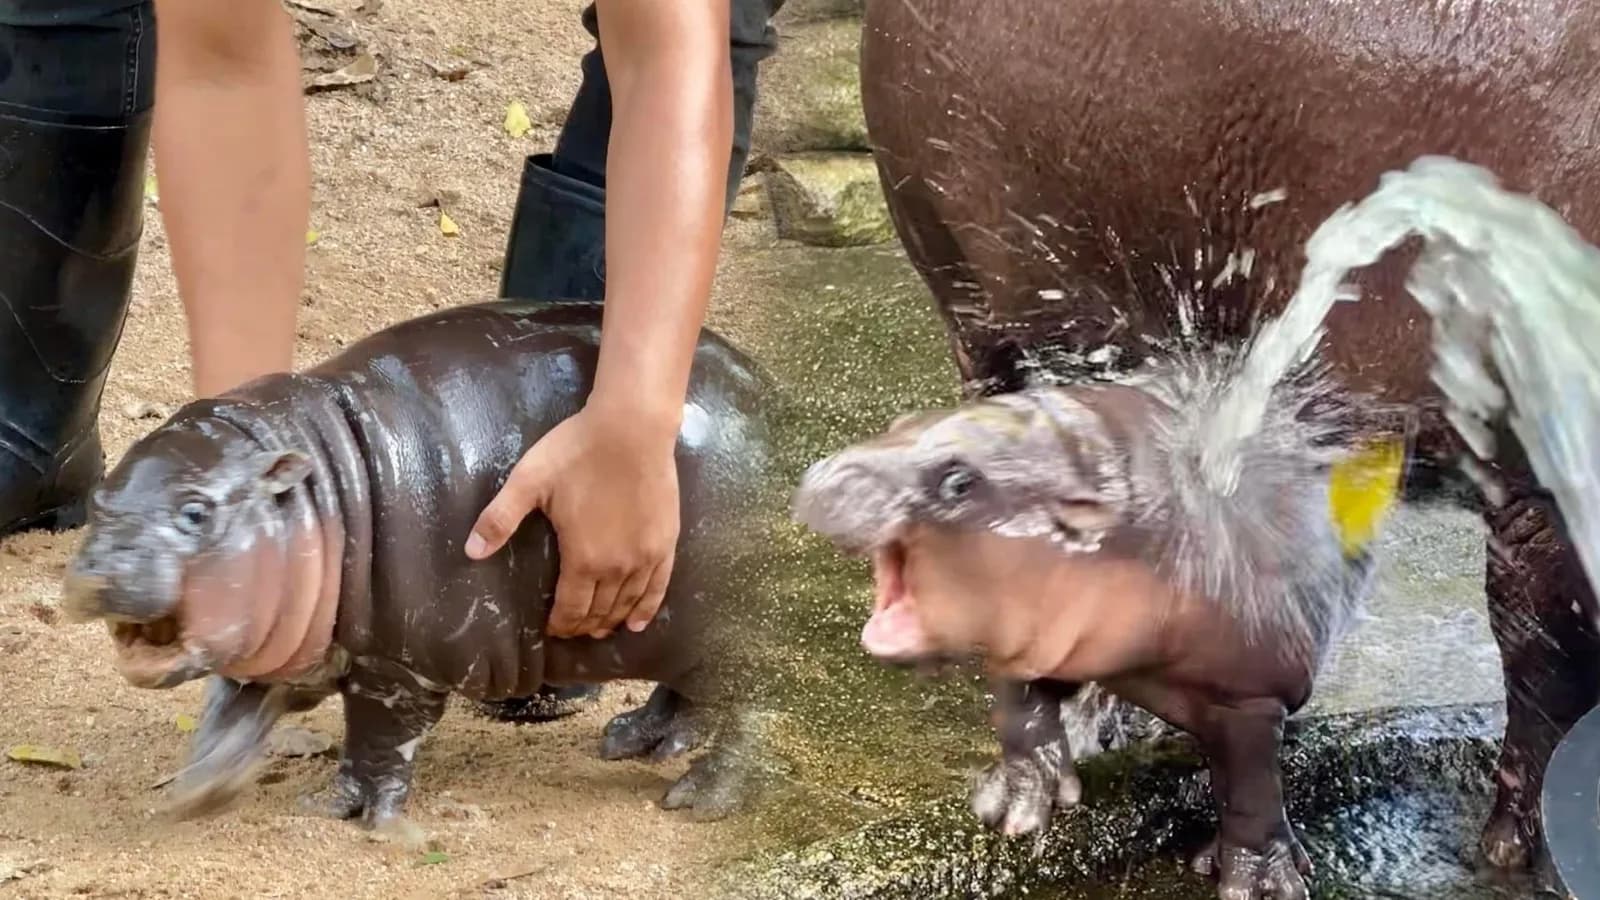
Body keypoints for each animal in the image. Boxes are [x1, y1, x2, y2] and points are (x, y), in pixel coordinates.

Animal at [59, 300, 772, 829]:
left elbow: (376, 742)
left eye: (195, 511)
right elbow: (230, 715)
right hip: (681, 634)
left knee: (754, 715)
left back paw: (696, 800)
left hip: (737, 632)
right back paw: (633, 742)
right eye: (98, 500)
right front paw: (197, 791)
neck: (322, 487)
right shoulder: (274, 650)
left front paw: (346, 811)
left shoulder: (399, 668)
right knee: (692, 694)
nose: (96, 573)